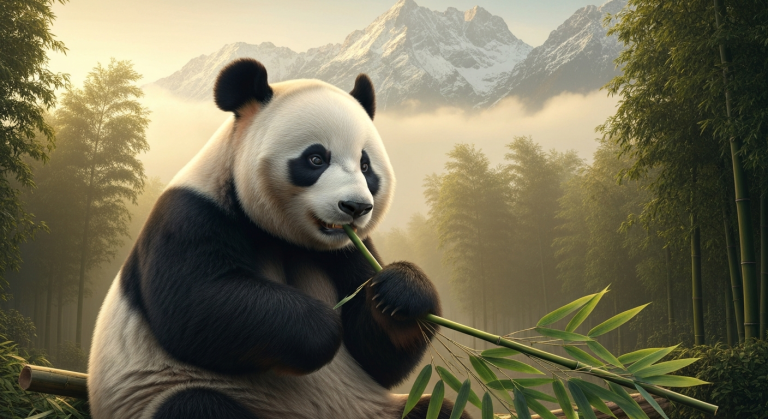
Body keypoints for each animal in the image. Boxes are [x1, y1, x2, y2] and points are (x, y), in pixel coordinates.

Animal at [88, 59, 472, 419]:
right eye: (315, 158)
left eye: (366, 166)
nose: (355, 207)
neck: (285, 238)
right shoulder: (191, 215)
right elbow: (197, 302)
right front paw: (322, 325)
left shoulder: (346, 250)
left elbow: (378, 356)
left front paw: (400, 291)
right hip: (166, 393)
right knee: (194, 405)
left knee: (441, 408)